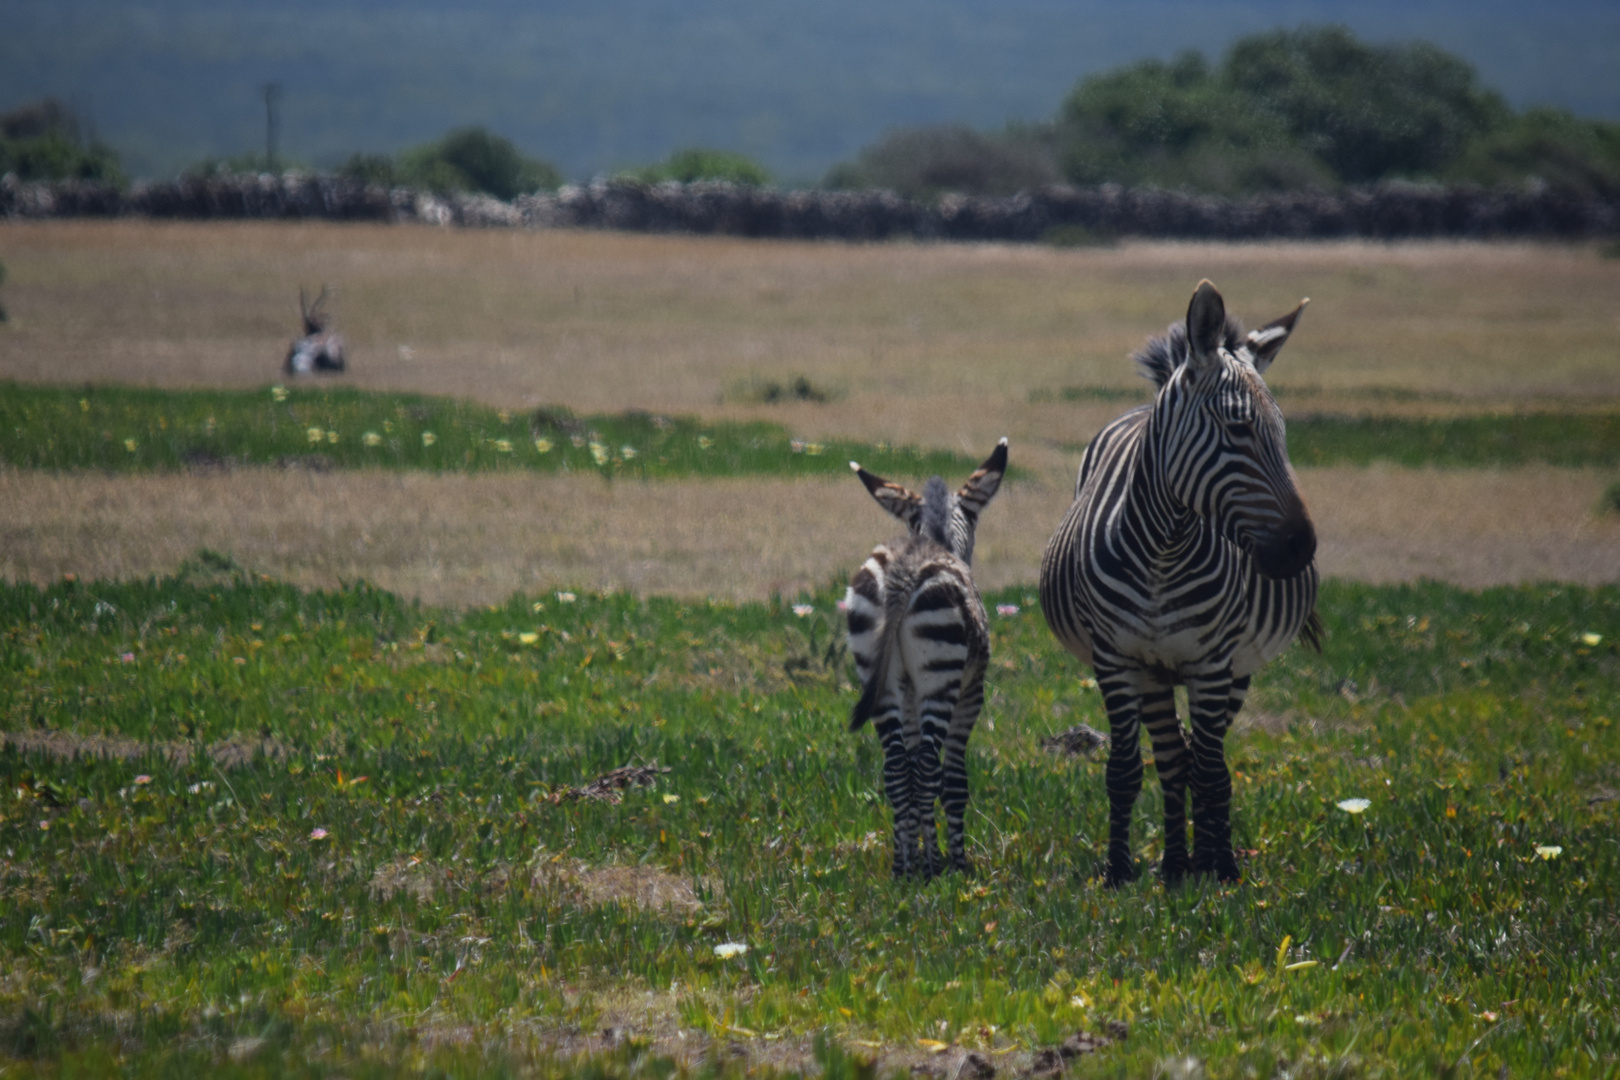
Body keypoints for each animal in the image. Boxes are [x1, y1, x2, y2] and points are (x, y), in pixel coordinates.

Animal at [842, 440, 1004, 880]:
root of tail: (904, 567)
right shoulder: (971, 694)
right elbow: (953, 781)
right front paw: (955, 862)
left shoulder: (909, 695)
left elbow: (912, 771)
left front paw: (911, 851)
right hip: (941, 676)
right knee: (930, 767)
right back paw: (934, 866)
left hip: (878, 677)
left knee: (899, 768)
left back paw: (903, 869)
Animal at [1043, 283, 1321, 893]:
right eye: (1239, 429)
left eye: (1284, 431)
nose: (1301, 549)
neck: (1162, 553)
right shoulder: (1117, 659)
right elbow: (1126, 770)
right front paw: (1118, 872)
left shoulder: (1214, 663)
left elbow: (1213, 771)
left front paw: (1223, 869)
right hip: (1152, 674)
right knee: (1172, 759)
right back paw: (1173, 865)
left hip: (1233, 670)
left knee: (1197, 757)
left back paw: (1199, 859)